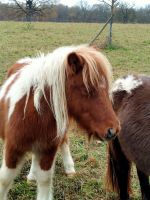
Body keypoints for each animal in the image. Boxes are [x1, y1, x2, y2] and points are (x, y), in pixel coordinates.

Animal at [0, 45, 120, 200]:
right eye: (87, 89)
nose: (113, 130)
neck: (32, 113)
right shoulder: (13, 148)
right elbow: (4, 180)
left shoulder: (48, 151)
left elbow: (44, 181)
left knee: (63, 141)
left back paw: (68, 168)